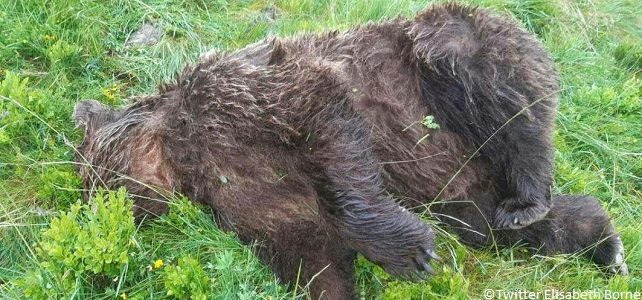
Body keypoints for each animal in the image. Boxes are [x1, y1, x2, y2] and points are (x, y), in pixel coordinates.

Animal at [71, 2, 624, 300]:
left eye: (90, 174)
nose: (95, 207)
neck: (183, 155)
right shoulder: (246, 198)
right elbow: (310, 255)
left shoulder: (248, 95)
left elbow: (328, 132)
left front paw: (412, 254)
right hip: (462, 188)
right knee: (495, 226)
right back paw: (601, 242)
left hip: (446, 57)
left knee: (499, 98)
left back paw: (530, 194)